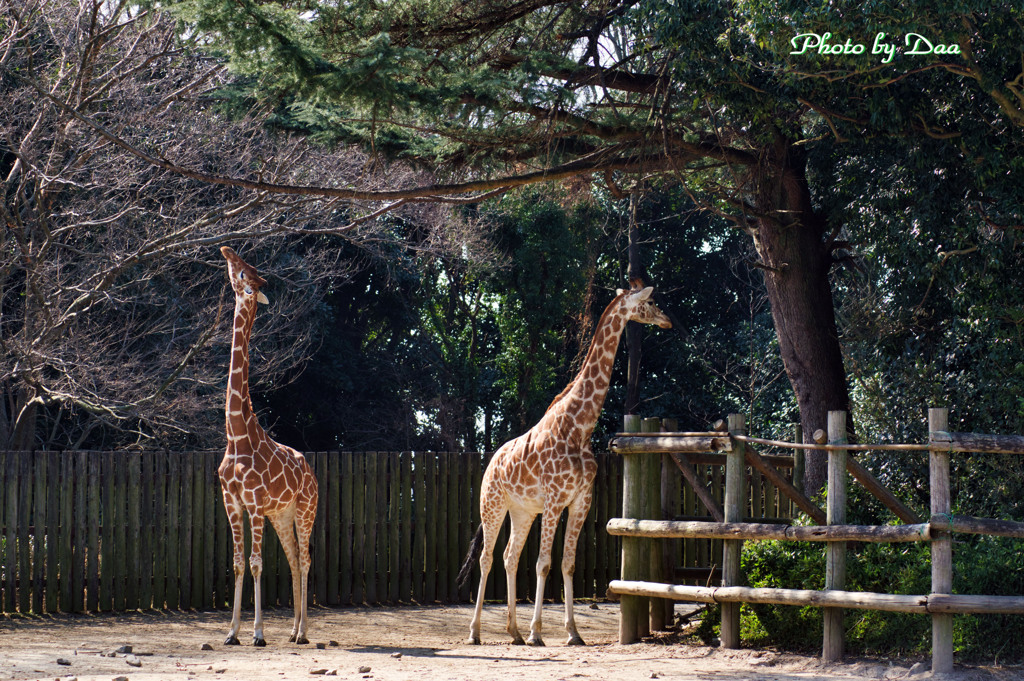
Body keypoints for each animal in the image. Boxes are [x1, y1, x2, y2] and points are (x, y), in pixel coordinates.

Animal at [456, 284, 671, 647]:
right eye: (652, 301)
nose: (667, 320)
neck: (579, 427)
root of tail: (491, 463)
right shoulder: (555, 500)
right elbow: (544, 563)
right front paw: (537, 633)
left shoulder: (581, 500)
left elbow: (567, 564)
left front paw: (572, 633)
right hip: (492, 504)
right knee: (487, 558)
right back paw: (475, 632)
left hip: (523, 511)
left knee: (509, 557)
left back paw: (513, 632)